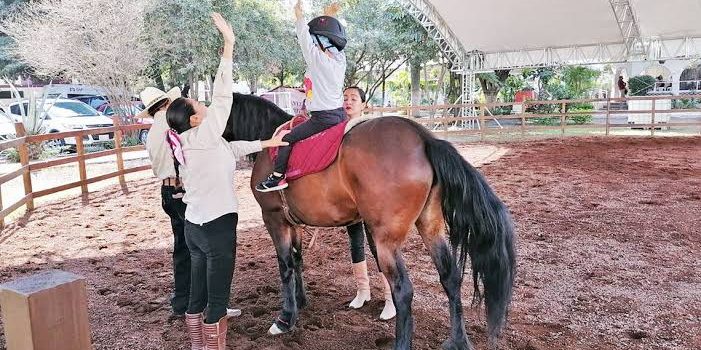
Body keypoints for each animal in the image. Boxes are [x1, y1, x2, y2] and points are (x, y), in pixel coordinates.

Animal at [224, 93, 516, 350]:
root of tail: (423, 137)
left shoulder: (273, 218)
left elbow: (285, 266)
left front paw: (285, 319)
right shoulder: (292, 222)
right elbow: (297, 260)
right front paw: (300, 301)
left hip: (386, 241)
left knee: (403, 290)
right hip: (431, 227)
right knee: (450, 278)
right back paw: (458, 340)